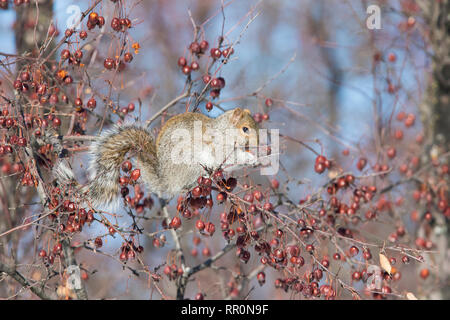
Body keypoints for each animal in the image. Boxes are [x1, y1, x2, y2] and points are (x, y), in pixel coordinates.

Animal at [55, 107, 260, 208]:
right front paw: (252, 158)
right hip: (191, 162)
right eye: (245, 129)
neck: (225, 130)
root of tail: (166, 179)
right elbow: (230, 157)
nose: (258, 143)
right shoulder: (218, 146)